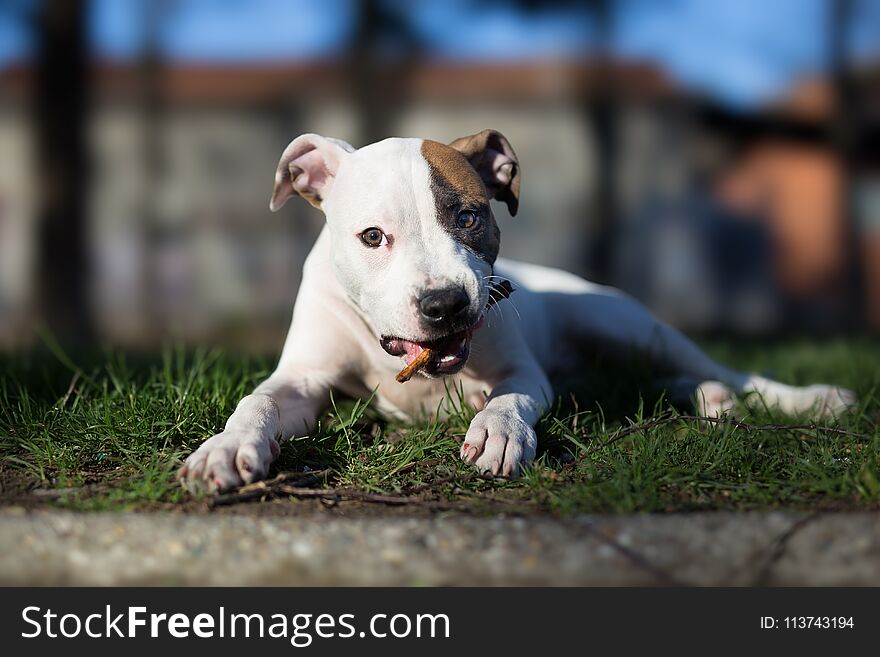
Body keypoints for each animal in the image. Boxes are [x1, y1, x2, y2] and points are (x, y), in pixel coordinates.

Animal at [180, 129, 860, 492]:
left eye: (469, 217)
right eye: (373, 237)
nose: (444, 303)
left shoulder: (524, 372)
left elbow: (511, 397)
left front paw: (499, 434)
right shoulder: (302, 377)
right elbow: (260, 400)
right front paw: (225, 447)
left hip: (628, 323)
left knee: (729, 370)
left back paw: (809, 400)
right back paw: (709, 401)